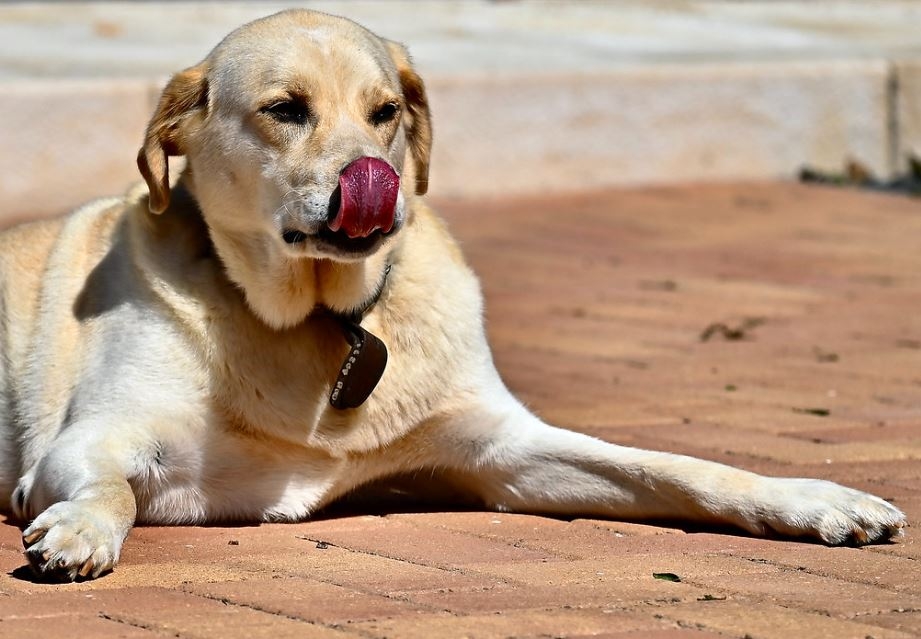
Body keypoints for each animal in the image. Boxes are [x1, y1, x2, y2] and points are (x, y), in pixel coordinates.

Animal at [0, 10, 904, 584]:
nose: (376, 178)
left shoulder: (505, 451)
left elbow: (685, 467)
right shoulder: (91, 442)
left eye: (386, 112)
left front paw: (816, 500)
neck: (322, 318)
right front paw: (81, 527)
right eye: (285, 110)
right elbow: (111, 488)